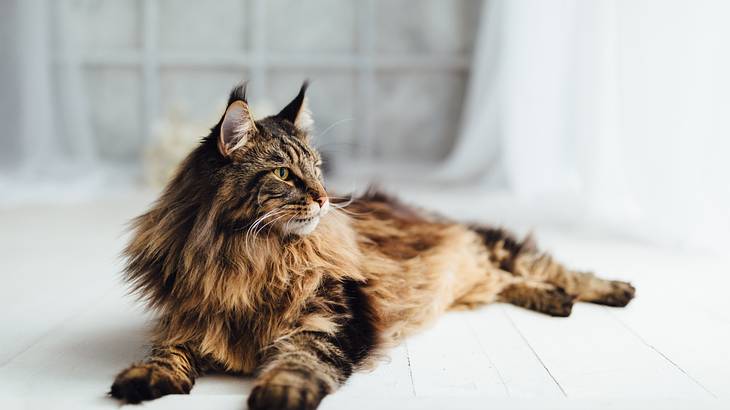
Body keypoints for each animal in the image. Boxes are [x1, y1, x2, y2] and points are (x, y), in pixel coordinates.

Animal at [111, 81, 636, 408]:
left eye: (317, 168)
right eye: (283, 173)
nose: (323, 198)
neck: (245, 257)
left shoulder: (332, 317)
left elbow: (301, 360)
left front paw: (280, 391)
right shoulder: (192, 319)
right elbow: (166, 353)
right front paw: (144, 378)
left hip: (493, 245)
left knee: (553, 269)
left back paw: (612, 290)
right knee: (506, 282)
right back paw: (555, 301)